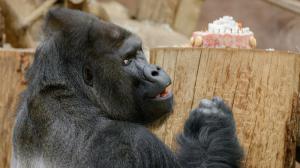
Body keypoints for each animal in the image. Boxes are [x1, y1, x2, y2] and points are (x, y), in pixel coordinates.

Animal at [11, 8, 244, 168]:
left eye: (139, 52)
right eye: (126, 60)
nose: (155, 70)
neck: (69, 90)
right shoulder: (128, 143)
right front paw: (210, 127)